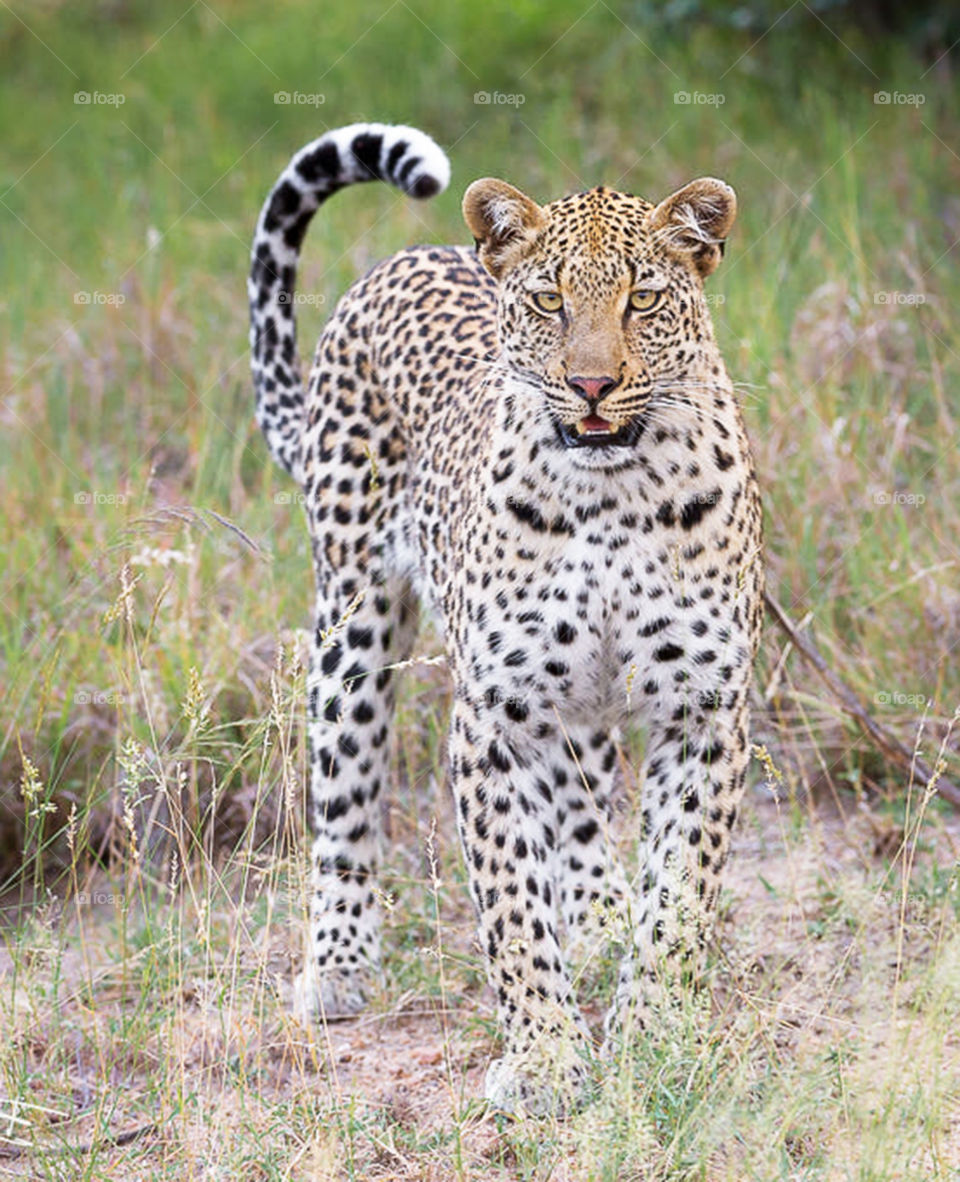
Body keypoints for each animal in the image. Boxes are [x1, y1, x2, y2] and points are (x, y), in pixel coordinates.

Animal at [247, 124, 766, 1111]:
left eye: (644, 299)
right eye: (548, 301)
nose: (593, 385)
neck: (612, 498)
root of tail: (407, 255)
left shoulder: (703, 708)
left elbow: (680, 892)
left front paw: (655, 1031)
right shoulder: (494, 717)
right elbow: (512, 909)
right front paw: (546, 1060)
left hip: (577, 704)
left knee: (584, 808)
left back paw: (600, 920)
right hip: (352, 620)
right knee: (343, 800)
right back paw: (336, 965)